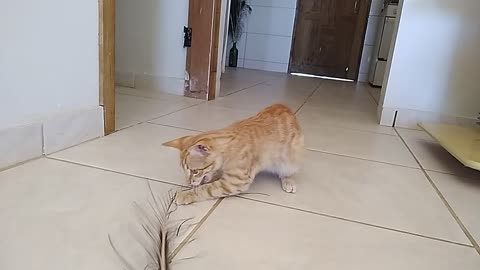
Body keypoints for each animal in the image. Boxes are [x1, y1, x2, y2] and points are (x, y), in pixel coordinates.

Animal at [163, 103, 302, 205]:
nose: (189, 182)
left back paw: (288, 181)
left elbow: (206, 189)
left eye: (195, 171)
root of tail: (284, 106)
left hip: (289, 161)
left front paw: (185, 194)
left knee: (288, 172)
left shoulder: (235, 182)